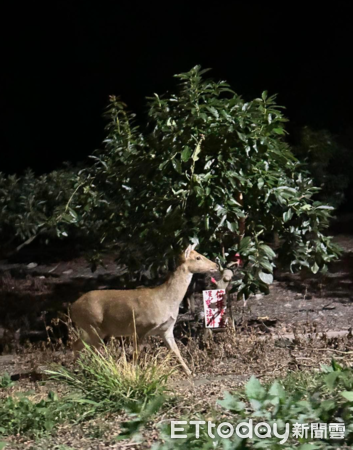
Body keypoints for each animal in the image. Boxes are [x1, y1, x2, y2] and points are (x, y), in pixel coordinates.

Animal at [70, 244, 216, 374]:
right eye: (198, 257)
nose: (215, 265)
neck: (166, 300)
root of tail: (73, 307)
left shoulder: (167, 329)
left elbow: (176, 351)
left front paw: (189, 372)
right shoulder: (139, 326)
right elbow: (136, 354)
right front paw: (135, 373)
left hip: (95, 329)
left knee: (78, 344)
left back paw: (76, 370)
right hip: (93, 325)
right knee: (94, 351)